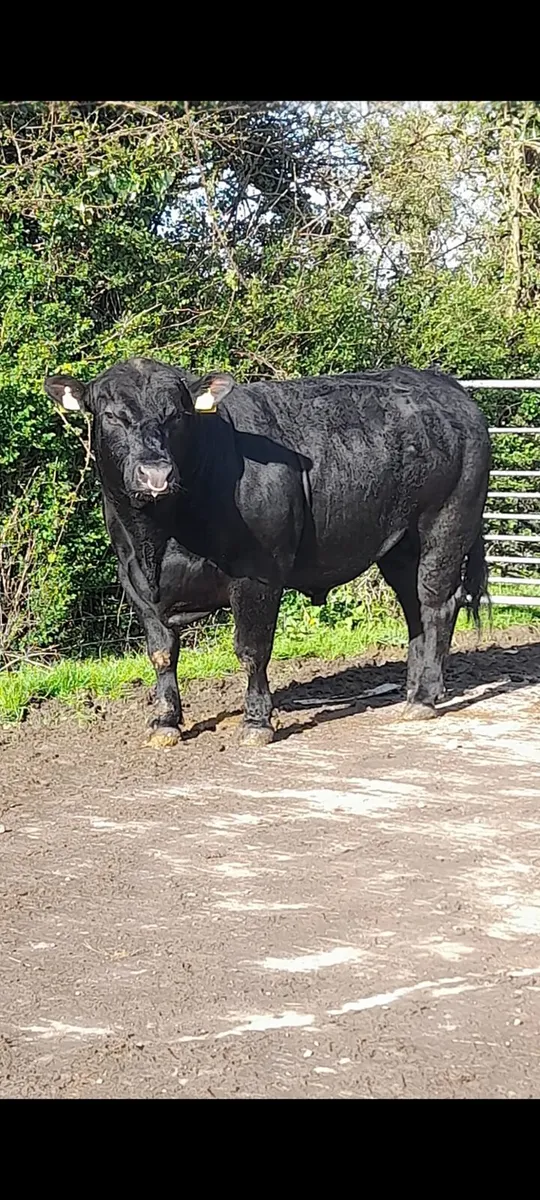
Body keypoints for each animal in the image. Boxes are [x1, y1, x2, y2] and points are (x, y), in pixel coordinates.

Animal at [44, 360, 491, 747]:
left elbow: (251, 649)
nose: (156, 473)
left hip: (445, 526)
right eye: (111, 416)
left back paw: (424, 698)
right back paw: (413, 688)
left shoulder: (256, 575)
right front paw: (165, 722)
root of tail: (442, 385)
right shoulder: (135, 580)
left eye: (176, 415)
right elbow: (161, 653)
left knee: (437, 605)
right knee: (415, 609)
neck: (159, 539)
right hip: (400, 547)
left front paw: (257, 722)